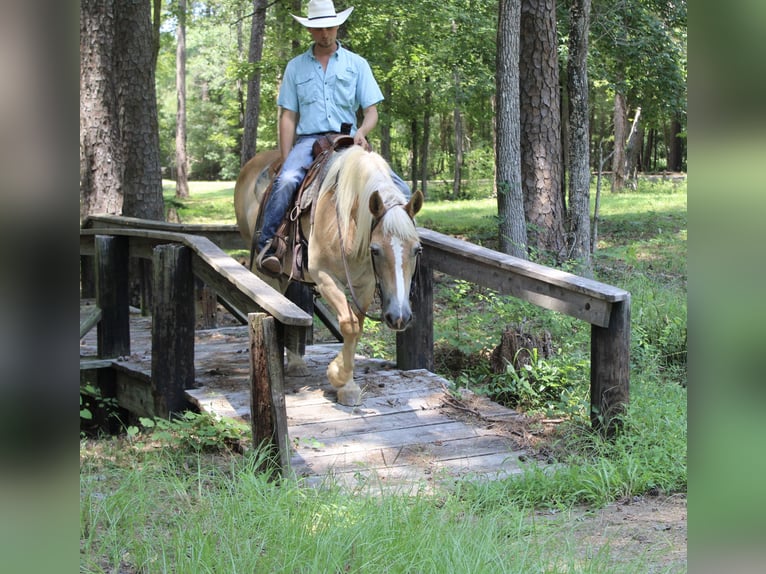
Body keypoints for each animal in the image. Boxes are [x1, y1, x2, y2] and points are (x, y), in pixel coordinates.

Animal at [234, 146, 426, 408]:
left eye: (417, 249)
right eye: (376, 249)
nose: (400, 317)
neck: (349, 226)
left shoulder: (365, 285)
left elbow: (357, 327)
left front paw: (346, 384)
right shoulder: (325, 277)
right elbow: (349, 325)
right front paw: (339, 377)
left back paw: (296, 363)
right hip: (264, 268)